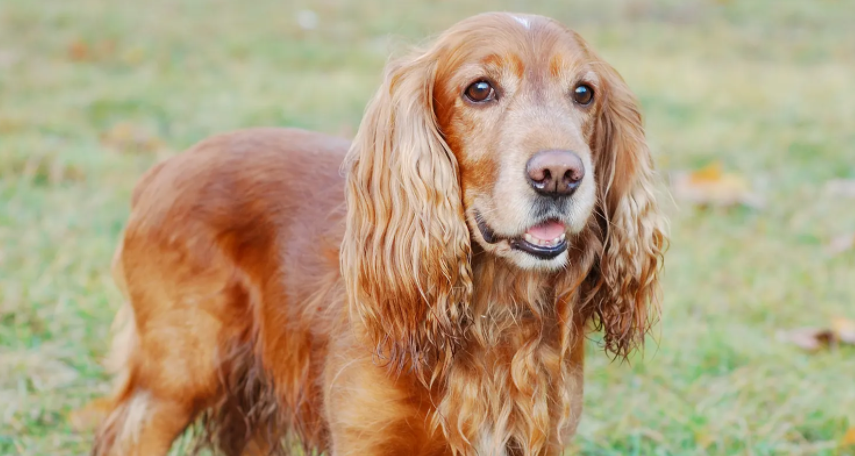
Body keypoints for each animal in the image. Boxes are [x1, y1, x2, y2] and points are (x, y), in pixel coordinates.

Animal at [93, 12, 668, 454]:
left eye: (584, 93)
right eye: (479, 90)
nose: (560, 174)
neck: (492, 313)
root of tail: (161, 170)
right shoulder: (369, 435)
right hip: (178, 376)